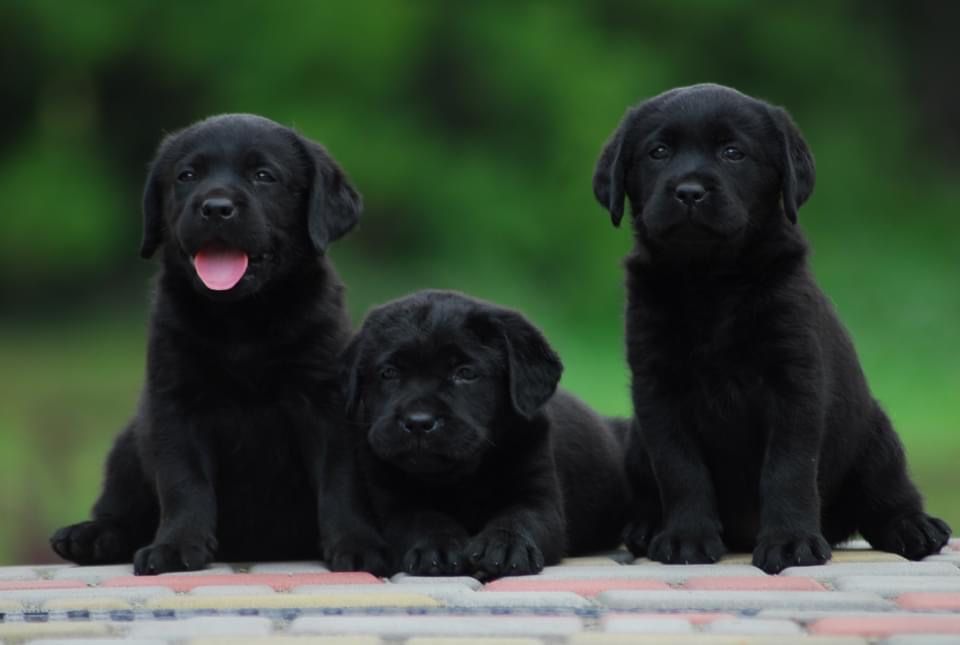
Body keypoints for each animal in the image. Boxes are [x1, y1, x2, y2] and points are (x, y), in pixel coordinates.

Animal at [50, 114, 382, 572]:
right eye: (187, 176)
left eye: (264, 176)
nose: (216, 208)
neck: (241, 322)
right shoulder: (175, 403)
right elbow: (183, 481)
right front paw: (176, 545)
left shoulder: (326, 400)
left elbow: (340, 478)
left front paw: (356, 543)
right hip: (129, 443)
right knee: (122, 509)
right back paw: (92, 536)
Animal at [336, 290, 632, 576]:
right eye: (389, 373)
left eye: (465, 373)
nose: (419, 422)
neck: (461, 477)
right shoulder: (395, 505)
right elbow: (424, 519)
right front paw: (439, 548)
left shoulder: (540, 499)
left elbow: (520, 517)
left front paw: (506, 547)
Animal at [588, 83, 948, 572]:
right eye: (658, 152)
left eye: (733, 152)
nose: (689, 191)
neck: (711, 280)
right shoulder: (657, 390)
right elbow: (681, 468)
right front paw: (686, 538)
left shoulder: (793, 382)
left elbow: (788, 468)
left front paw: (790, 541)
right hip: (636, 446)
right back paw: (646, 529)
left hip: (876, 435)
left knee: (888, 497)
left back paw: (915, 526)